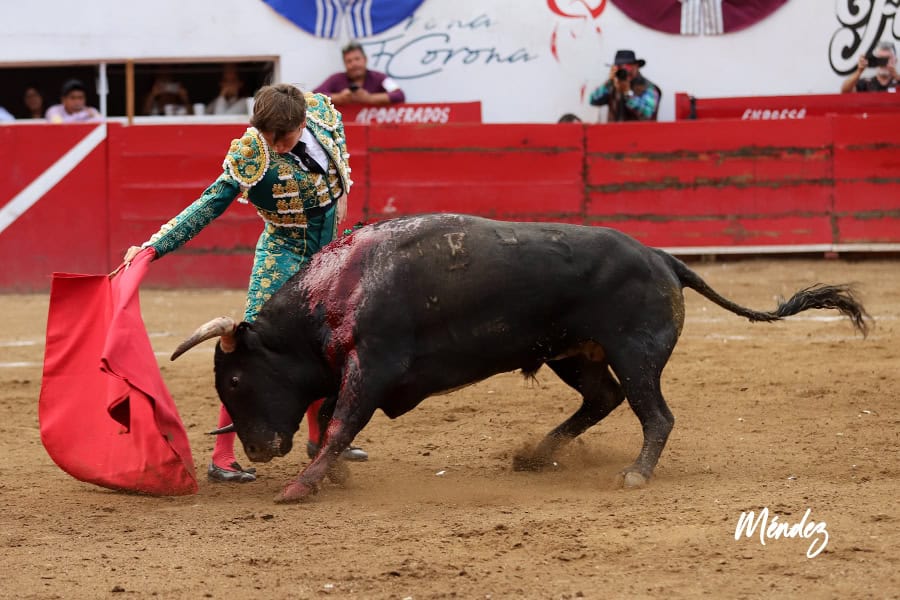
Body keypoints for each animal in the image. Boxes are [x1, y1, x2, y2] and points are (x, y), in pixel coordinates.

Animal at [172, 214, 869, 503]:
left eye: (236, 376)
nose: (260, 450)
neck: (338, 290)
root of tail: (663, 258)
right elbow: (331, 422)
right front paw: (325, 474)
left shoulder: (372, 367)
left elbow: (341, 422)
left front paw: (301, 486)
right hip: (574, 354)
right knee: (605, 398)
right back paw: (536, 454)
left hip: (635, 352)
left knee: (655, 414)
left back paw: (634, 474)